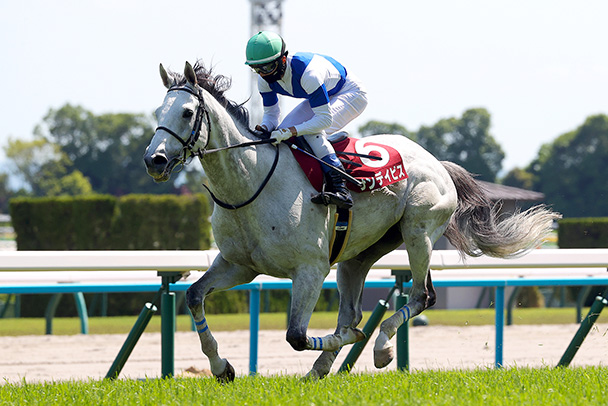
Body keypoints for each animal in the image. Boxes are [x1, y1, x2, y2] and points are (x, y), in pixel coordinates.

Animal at [143, 61, 560, 381]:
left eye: (186, 112)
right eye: (157, 113)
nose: (155, 160)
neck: (250, 184)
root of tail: (438, 163)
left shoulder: (310, 269)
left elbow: (297, 335)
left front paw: (355, 341)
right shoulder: (238, 265)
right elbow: (194, 296)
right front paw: (222, 367)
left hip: (418, 231)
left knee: (421, 295)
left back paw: (380, 349)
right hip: (360, 253)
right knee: (354, 308)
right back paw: (321, 368)